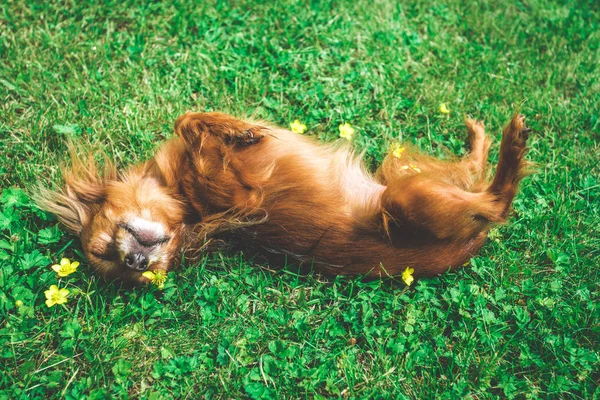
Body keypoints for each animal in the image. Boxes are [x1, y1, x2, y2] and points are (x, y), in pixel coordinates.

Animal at [38, 111, 528, 282]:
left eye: (107, 245)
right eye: (113, 261)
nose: (137, 262)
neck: (187, 205)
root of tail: (467, 246)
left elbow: (187, 119)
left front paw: (234, 128)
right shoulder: (244, 196)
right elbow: (192, 126)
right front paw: (234, 132)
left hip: (402, 172)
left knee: (472, 172)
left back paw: (482, 136)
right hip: (405, 199)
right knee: (495, 203)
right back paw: (512, 146)